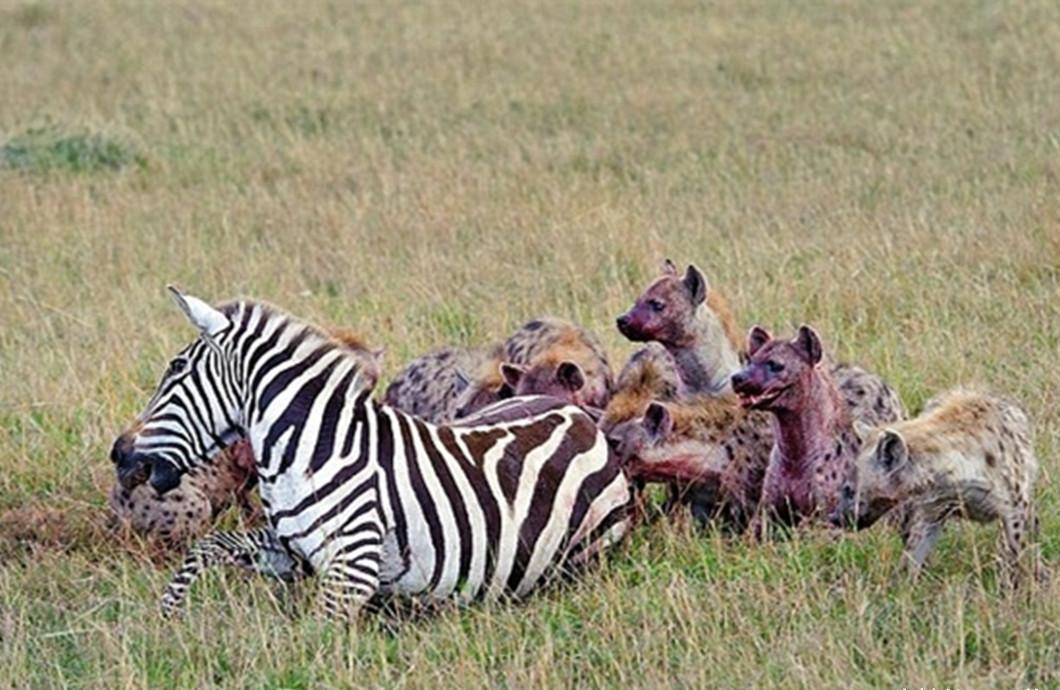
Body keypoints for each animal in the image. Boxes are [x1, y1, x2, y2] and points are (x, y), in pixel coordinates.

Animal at [111, 288, 631, 618]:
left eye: (175, 369)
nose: (122, 457)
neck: (313, 451)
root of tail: (579, 416)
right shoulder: (290, 550)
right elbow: (209, 544)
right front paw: (168, 617)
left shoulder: (352, 570)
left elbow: (311, 635)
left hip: (586, 549)